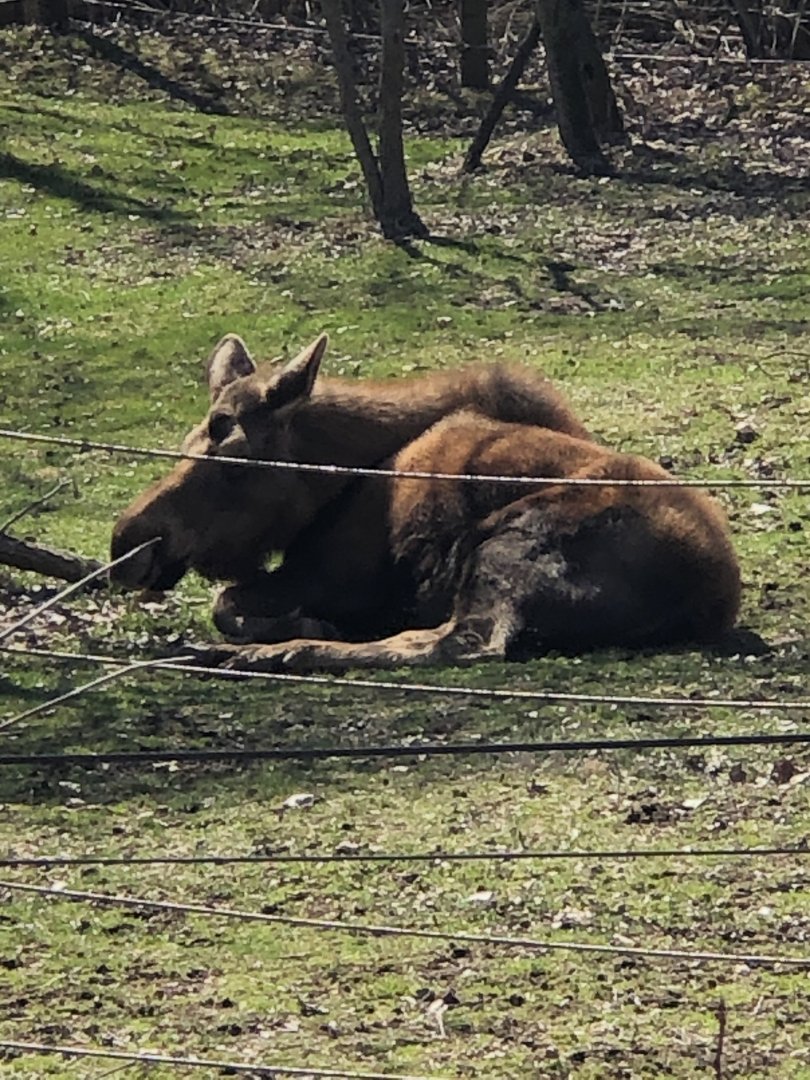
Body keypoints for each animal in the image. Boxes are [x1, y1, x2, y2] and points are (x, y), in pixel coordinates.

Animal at [111, 332, 741, 672]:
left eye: (235, 456)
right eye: (186, 442)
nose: (128, 544)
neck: (341, 475)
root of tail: (710, 596)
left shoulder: (334, 575)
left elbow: (227, 601)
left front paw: (294, 626)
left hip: (509, 540)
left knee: (462, 643)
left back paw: (285, 650)